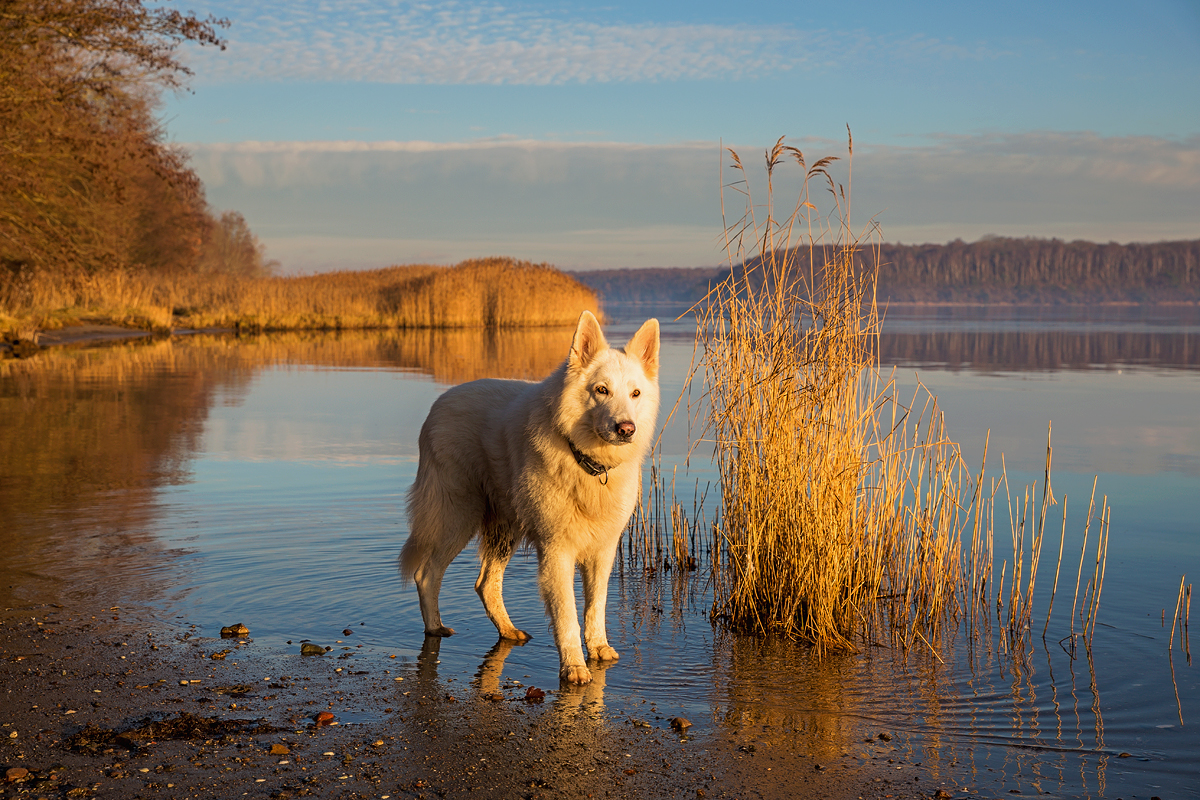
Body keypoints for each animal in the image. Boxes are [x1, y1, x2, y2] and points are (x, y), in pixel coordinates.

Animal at [400, 309, 662, 686]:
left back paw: (509, 631)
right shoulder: (557, 551)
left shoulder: (603, 549)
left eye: (636, 393)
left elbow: (595, 606)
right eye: (601, 390)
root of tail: (442, 402)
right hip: (456, 518)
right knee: (427, 574)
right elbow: (567, 614)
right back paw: (435, 628)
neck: (585, 462)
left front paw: (598, 649)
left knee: (485, 583)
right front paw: (574, 667)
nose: (626, 429)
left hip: (503, 530)